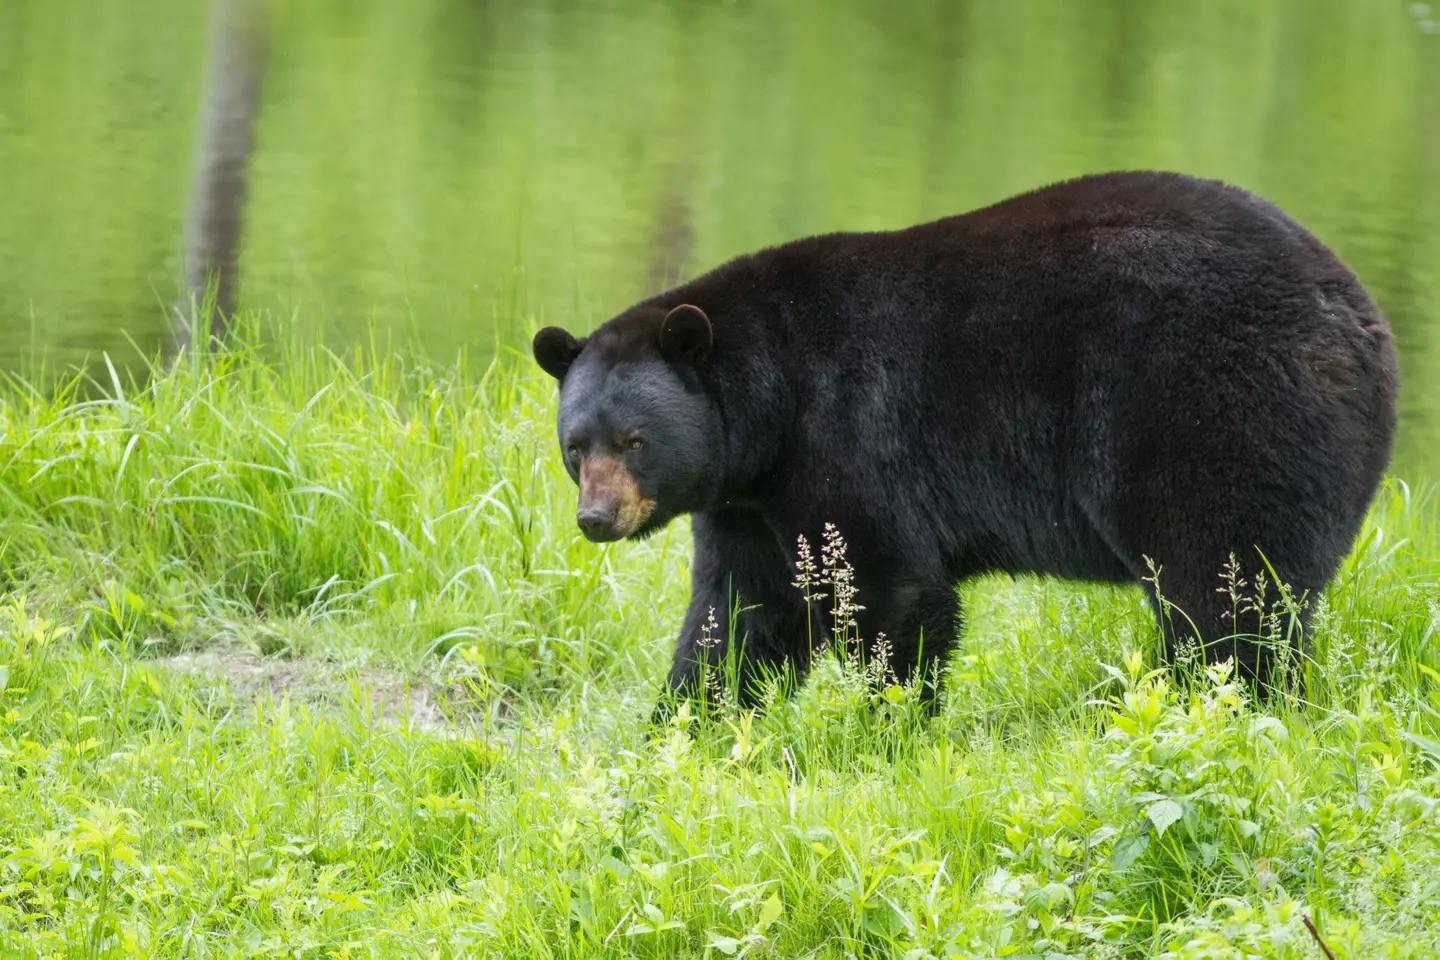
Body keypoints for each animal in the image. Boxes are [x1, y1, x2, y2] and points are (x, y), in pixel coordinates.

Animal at [532, 170, 1398, 716]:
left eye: (634, 441)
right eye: (575, 447)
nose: (596, 519)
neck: (769, 403)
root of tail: (1362, 321)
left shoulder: (846, 431)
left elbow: (892, 589)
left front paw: (887, 725)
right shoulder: (751, 499)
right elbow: (740, 612)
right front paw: (684, 726)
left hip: (1215, 412)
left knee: (1225, 585)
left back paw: (1222, 706)